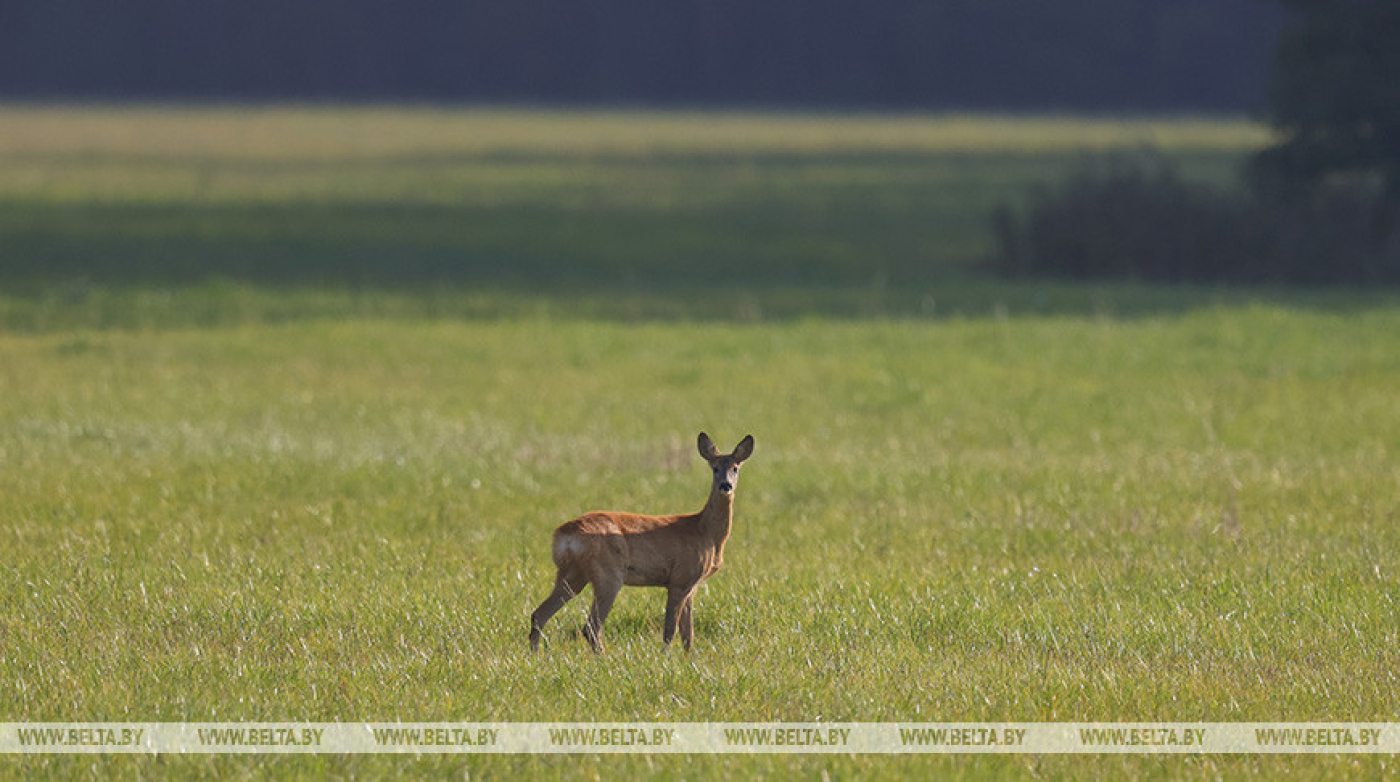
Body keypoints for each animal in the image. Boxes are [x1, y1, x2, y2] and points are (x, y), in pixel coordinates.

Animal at [529, 433, 756, 654]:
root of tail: (565, 535)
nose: (725, 485)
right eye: (714, 468)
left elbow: (688, 635)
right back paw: (605, 658)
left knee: (539, 614)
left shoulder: (692, 586)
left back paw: (535, 655)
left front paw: (688, 659)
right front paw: (665, 659)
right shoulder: (680, 579)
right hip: (608, 575)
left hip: (572, 574)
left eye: (735, 468)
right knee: (591, 627)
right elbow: (670, 630)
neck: (705, 532)